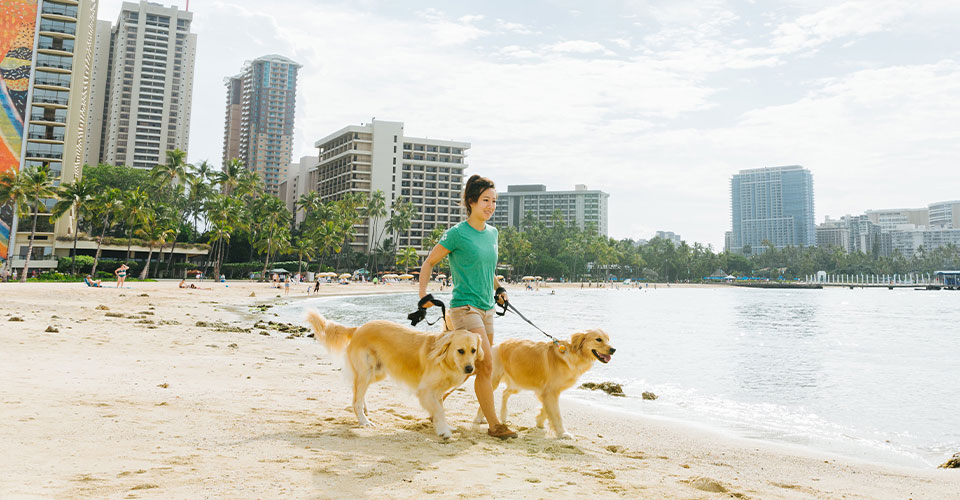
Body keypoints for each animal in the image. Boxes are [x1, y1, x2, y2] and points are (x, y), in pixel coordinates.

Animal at [308, 310, 484, 440]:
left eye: (473, 350)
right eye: (460, 351)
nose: (470, 368)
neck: (444, 360)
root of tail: (358, 328)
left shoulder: (437, 392)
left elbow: (440, 410)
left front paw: (444, 426)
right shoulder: (425, 391)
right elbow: (439, 411)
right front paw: (444, 431)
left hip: (376, 373)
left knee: (356, 390)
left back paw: (364, 410)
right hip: (367, 372)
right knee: (355, 399)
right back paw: (364, 421)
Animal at [478, 330, 616, 440]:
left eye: (608, 339)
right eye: (598, 339)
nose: (613, 349)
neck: (574, 355)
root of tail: (497, 345)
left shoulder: (548, 391)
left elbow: (547, 409)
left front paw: (539, 421)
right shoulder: (550, 391)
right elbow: (556, 414)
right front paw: (562, 433)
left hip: (518, 382)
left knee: (505, 392)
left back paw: (503, 415)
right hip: (494, 379)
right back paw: (479, 419)